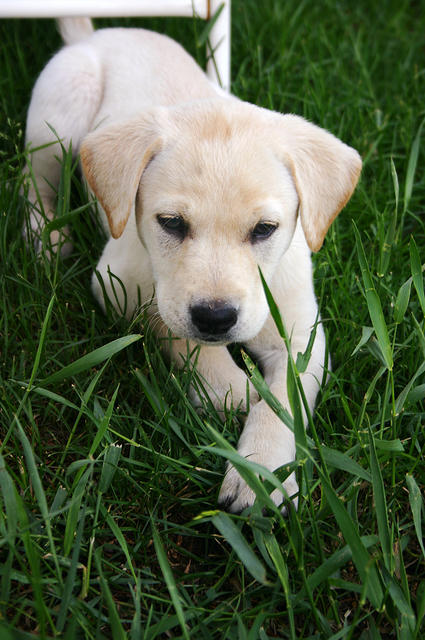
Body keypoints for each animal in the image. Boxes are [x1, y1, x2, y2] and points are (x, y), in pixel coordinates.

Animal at [24, 17, 360, 512]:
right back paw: (44, 237)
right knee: (33, 180)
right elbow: (179, 335)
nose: (216, 318)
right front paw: (235, 390)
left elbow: (284, 402)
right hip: (57, 122)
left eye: (265, 229)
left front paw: (263, 474)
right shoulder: (118, 284)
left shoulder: (302, 336)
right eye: (171, 223)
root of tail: (94, 34)